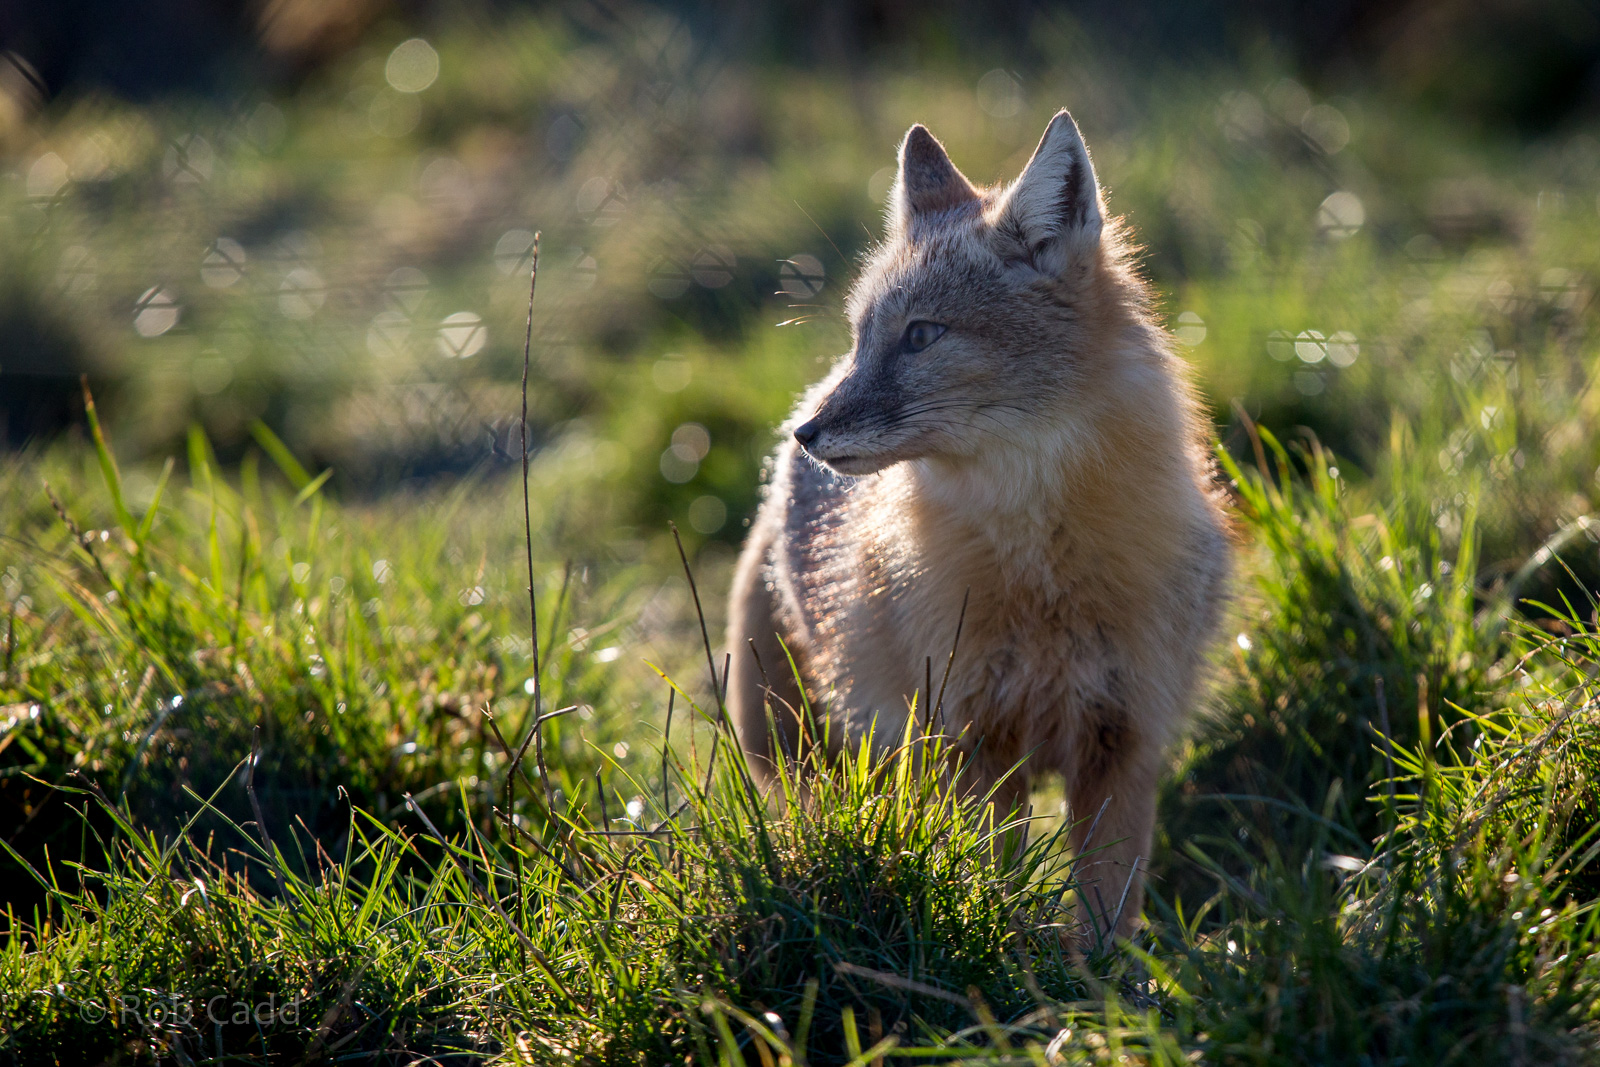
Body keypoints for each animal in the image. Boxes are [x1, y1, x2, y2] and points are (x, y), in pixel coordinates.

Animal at [725, 109, 1231, 940]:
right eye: (864, 336)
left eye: (921, 335)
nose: (806, 431)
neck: (1045, 574)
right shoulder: (976, 744)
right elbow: (996, 887)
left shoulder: (1123, 739)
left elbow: (1107, 917)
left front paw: (1101, 979)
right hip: (817, 753)